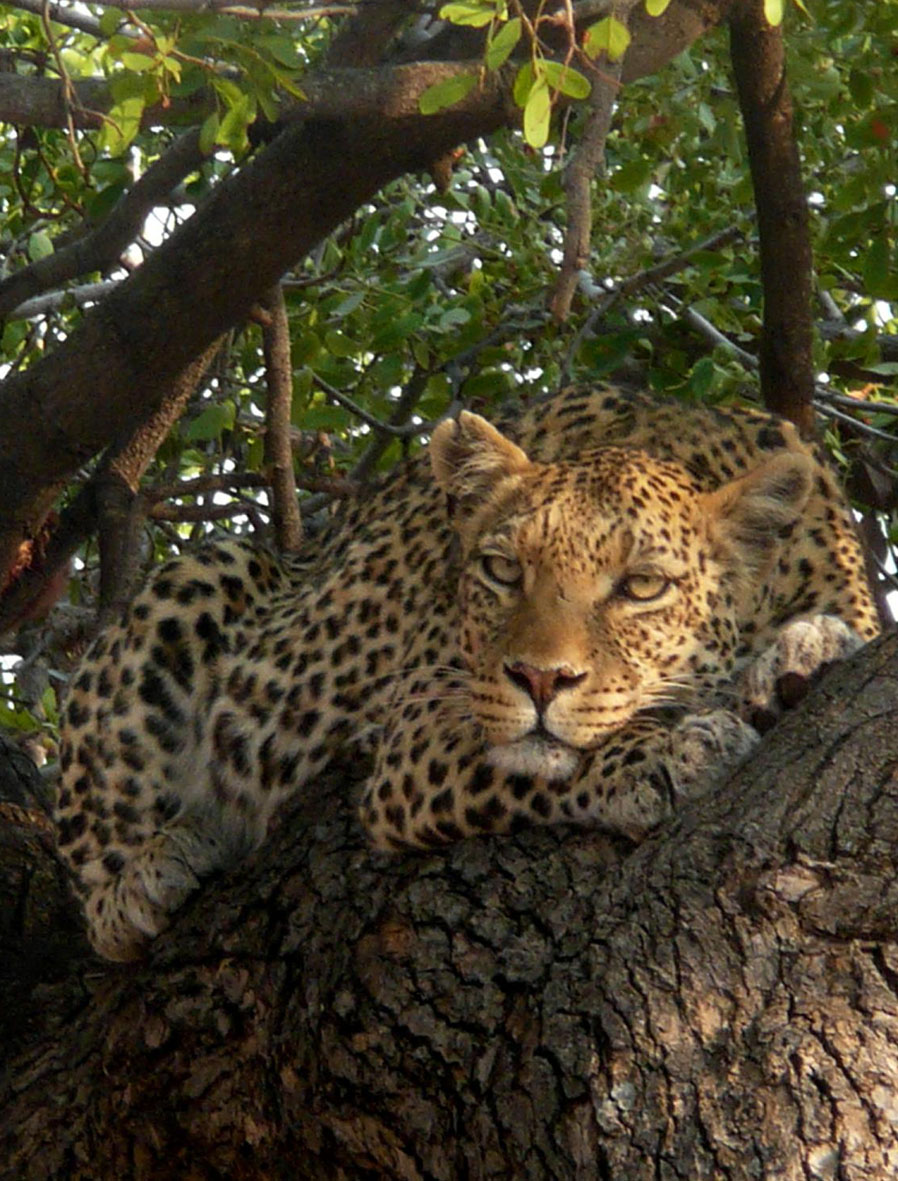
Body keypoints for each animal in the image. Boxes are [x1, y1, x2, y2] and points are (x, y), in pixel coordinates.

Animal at [55, 386, 881, 960]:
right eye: (502, 569)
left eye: (643, 585)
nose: (539, 680)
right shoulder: (421, 723)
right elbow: (543, 761)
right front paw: (671, 749)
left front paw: (801, 654)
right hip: (201, 578)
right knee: (94, 887)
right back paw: (152, 872)